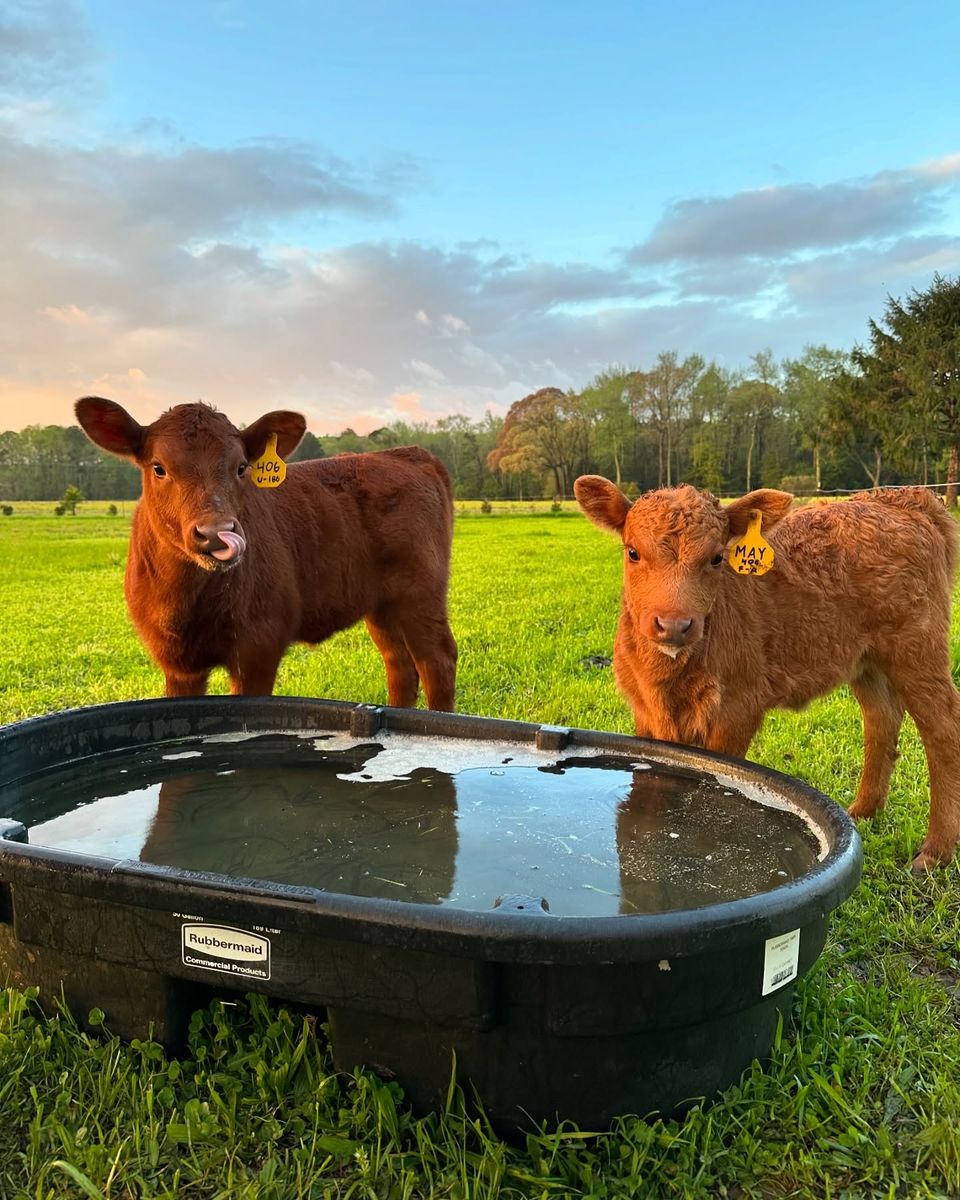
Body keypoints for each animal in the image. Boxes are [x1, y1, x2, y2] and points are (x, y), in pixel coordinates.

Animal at [75, 397, 457, 710]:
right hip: (381, 605)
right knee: (400, 665)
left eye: (241, 467)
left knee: (437, 660)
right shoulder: (177, 663)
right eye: (159, 467)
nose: (215, 533)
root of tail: (405, 453)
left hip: (421, 592)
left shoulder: (258, 646)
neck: (186, 602)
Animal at [574, 477, 960, 871]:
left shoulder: (737, 709)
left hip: (918, 645)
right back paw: (863, 811)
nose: (674, 625)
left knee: (942, 726)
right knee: (882, 716)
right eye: (633, 552)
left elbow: (715, 779)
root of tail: (903, 496)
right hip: (866, 658)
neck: (667, 683)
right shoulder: (644, 711)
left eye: (717, 558)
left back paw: (935, 851)